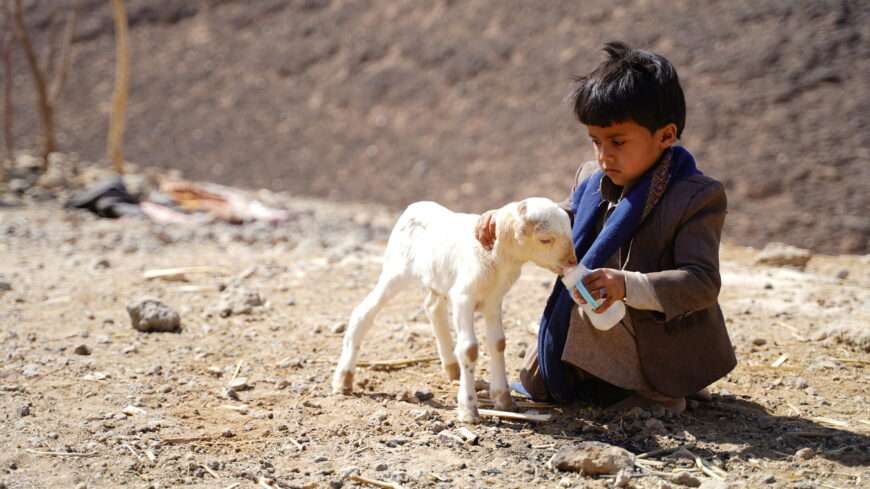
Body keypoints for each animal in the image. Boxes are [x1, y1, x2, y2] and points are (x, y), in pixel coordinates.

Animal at [330, 196, 576, 422]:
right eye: (545, 239)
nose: (572, 262)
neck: (499, 260)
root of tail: (415, 206)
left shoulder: (493, 300)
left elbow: (498, 343)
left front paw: (504, 400)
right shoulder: (463, 297)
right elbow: (470, 349)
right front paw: (469, 410)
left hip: (435, 278)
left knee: (432, 307)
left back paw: (452, 368)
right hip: (396, 271)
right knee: (363, 311)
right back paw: (344, 380)